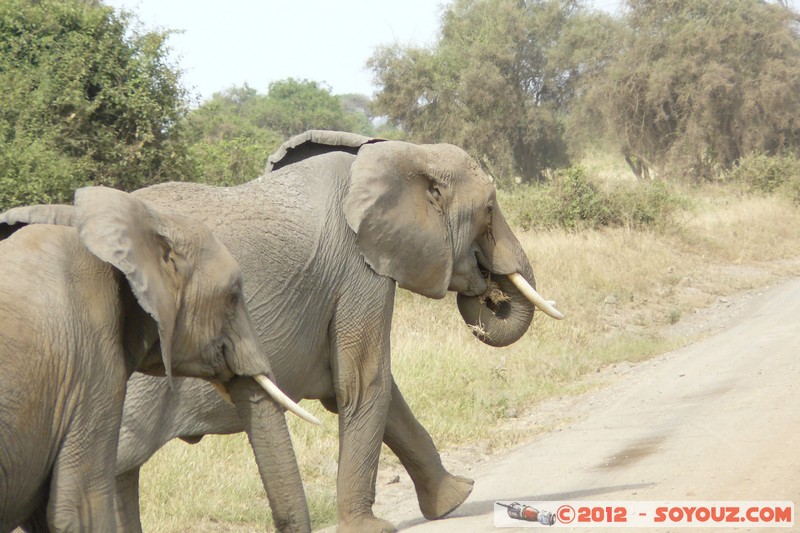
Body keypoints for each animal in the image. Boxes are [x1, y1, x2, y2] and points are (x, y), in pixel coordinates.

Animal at [117, 130, 564, 532]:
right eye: (489, 209)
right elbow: (365, 381)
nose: (489, 293)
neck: (401, 152)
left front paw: (456, 497)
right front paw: (373, 527)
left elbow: (367, 391)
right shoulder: (358, 270)